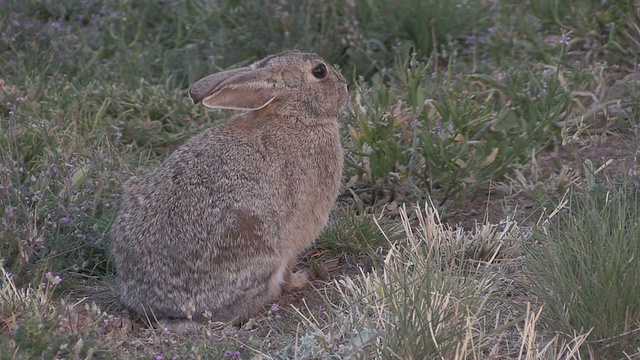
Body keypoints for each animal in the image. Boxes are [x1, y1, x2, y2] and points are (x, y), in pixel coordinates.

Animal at [110, 49, 350, 330]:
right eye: (319, 71)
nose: (345, 85)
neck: (295, 115)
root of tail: (155, 306)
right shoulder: (298, 229)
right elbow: (290, 266)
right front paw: (301, 279)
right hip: (255, 244)